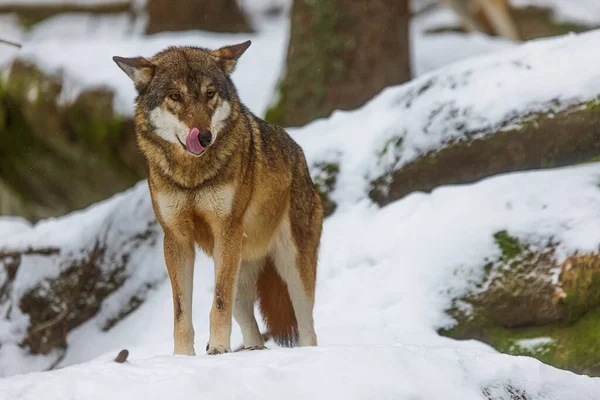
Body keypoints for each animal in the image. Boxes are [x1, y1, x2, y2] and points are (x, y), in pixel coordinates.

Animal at [115, 39, 326, 354]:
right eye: (175, 96)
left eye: (210, 94)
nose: (204, 137)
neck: (192, 177)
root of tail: (301, 158)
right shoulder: (176, 239)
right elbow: (181, 312)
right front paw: (182, 357)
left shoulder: (226, 228)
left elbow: (218, 304)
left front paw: (217, 349)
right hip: (234, 266)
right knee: (251, 327)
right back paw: (252, 351)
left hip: (290, 268)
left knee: (308, 331)